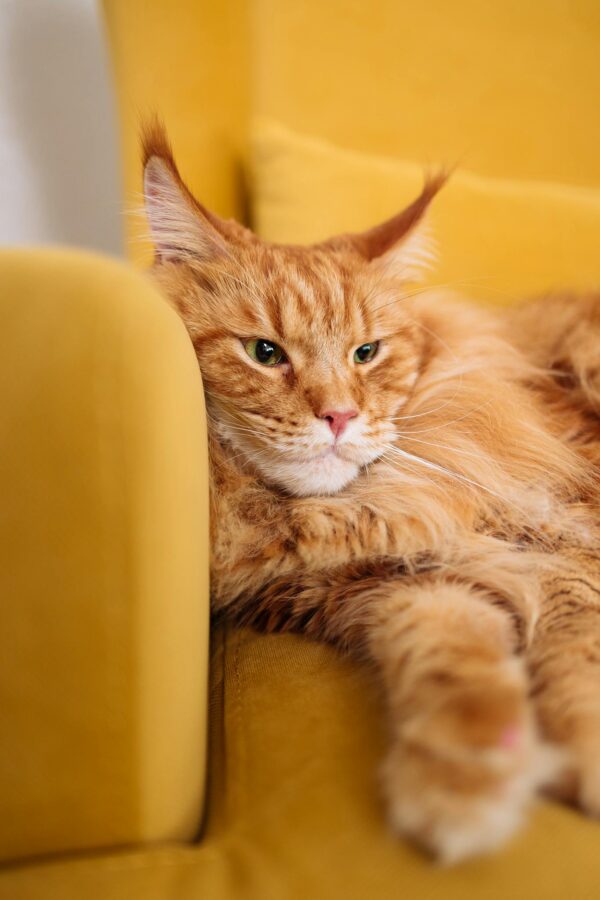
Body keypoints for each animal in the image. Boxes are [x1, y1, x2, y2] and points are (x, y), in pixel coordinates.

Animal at [143, 125, 600, 864]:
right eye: (263, 352)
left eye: (367, 353)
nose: (339, 416)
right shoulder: (384, 586)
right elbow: (448, 659)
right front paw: (463, 786)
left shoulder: (569, 545)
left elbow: (575, 652)